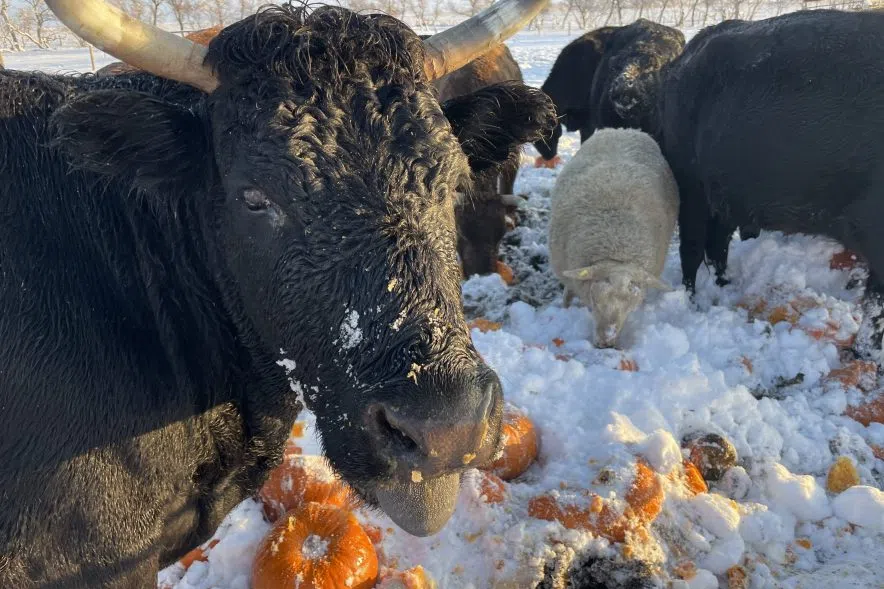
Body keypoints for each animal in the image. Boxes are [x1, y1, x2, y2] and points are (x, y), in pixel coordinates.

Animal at [548, 127, 680, 350]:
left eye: (630, 307)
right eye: (595, 300)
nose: (606, 342)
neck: (616, 247)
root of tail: (625, 129)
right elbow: (568, 292)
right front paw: (564, 307)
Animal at [656, 9, 884, 358]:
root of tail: (685, 58)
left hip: (724, 195)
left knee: (717, 244)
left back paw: (727, 286)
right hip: (690, 183)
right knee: (692, 249)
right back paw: (693, 304)